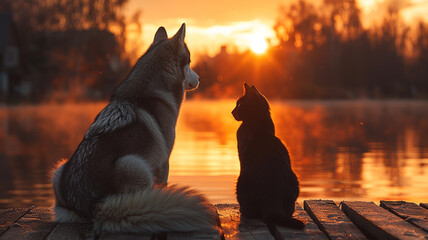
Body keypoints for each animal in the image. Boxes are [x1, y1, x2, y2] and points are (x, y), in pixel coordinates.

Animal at [232, 82, 302, 238]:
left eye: (239, 105)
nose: (232, 112)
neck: (258, 123)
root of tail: (272, 198)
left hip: (241, 182)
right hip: (295, 183)